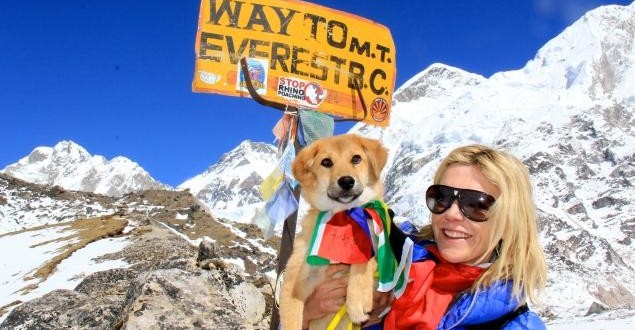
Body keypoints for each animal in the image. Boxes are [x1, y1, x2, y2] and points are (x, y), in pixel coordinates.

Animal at [280, 134, 390, 330]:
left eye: (356, 158)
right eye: (326, 162)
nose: (346, 181)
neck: (342, 218)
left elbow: (364, 259)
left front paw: (357, 299)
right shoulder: (294, 281)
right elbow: (292, 318)